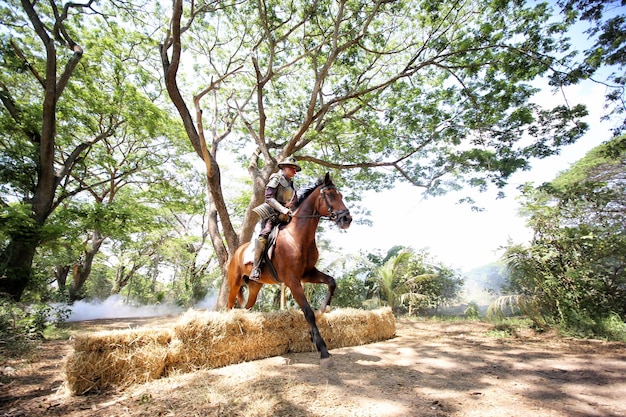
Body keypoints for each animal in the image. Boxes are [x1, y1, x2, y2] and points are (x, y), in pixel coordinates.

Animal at [225, 171, 352, 366]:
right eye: (330, 195)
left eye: (341, 196)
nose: (347, 219)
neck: (297, 237)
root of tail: (238, 251)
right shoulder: (293, 281)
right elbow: (308, 312)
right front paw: (322, 349)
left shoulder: (308, 273)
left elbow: (331, 282)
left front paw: (323, 311)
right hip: (234, 284)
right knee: (229, 306)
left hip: (255, 287)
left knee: (247, 307)